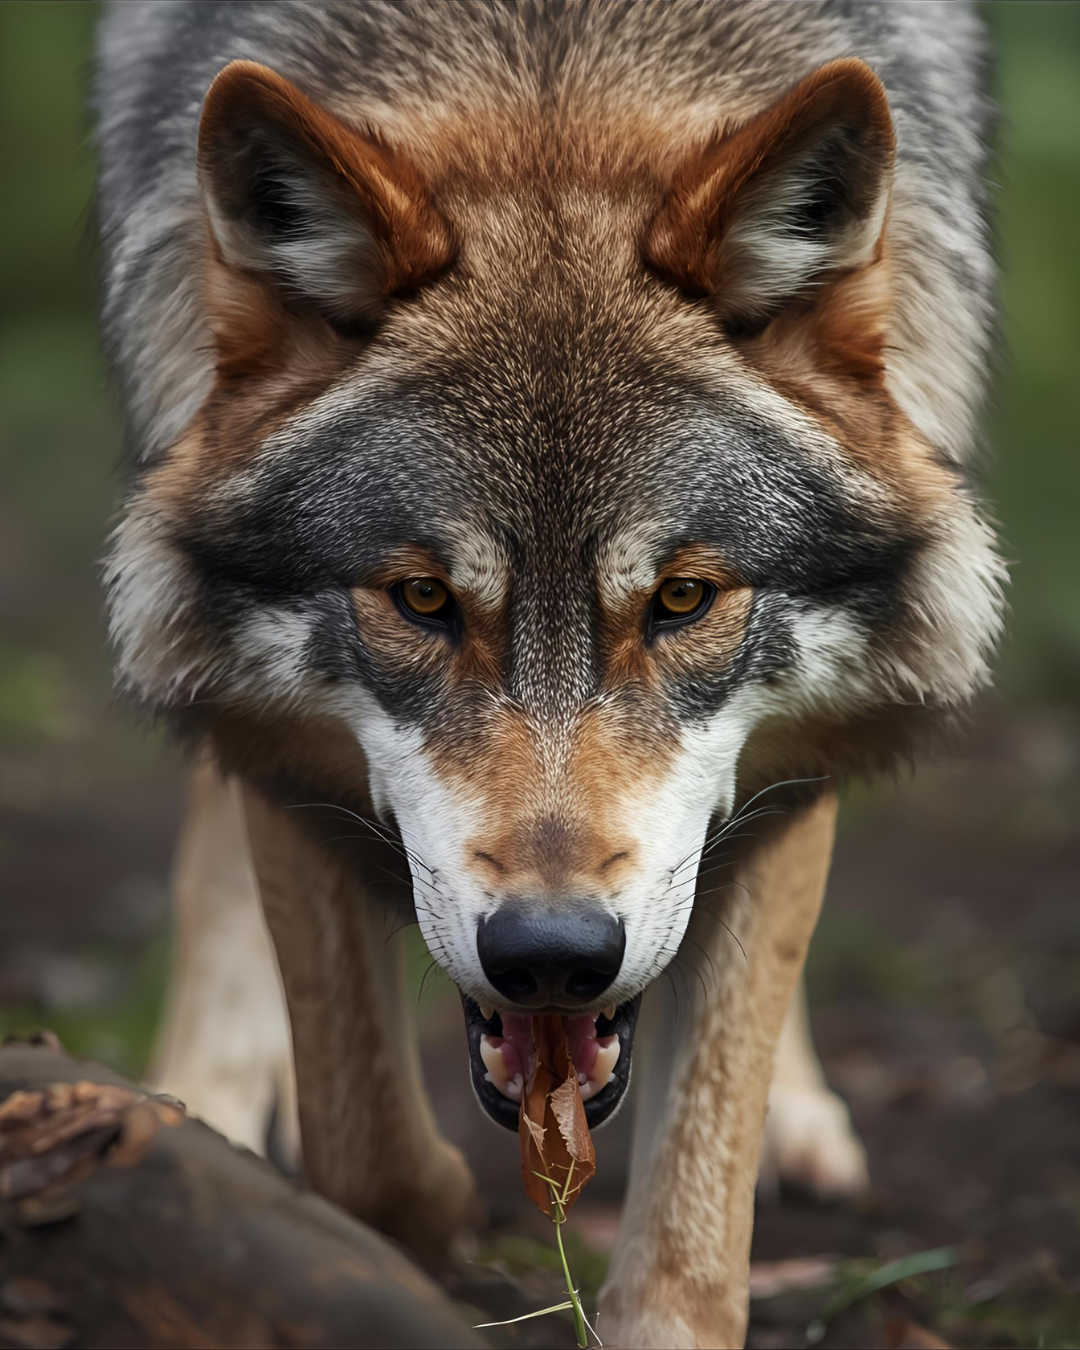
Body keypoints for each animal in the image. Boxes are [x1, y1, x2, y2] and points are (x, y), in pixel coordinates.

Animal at [93, 2, 1002, 1345]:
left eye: (683, 600)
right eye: (423, 600)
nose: (552, 956)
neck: (551, 71)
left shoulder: (798, 774)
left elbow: (698, 1189)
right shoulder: (283, 756)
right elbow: (369, 1149)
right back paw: (195, 1101)